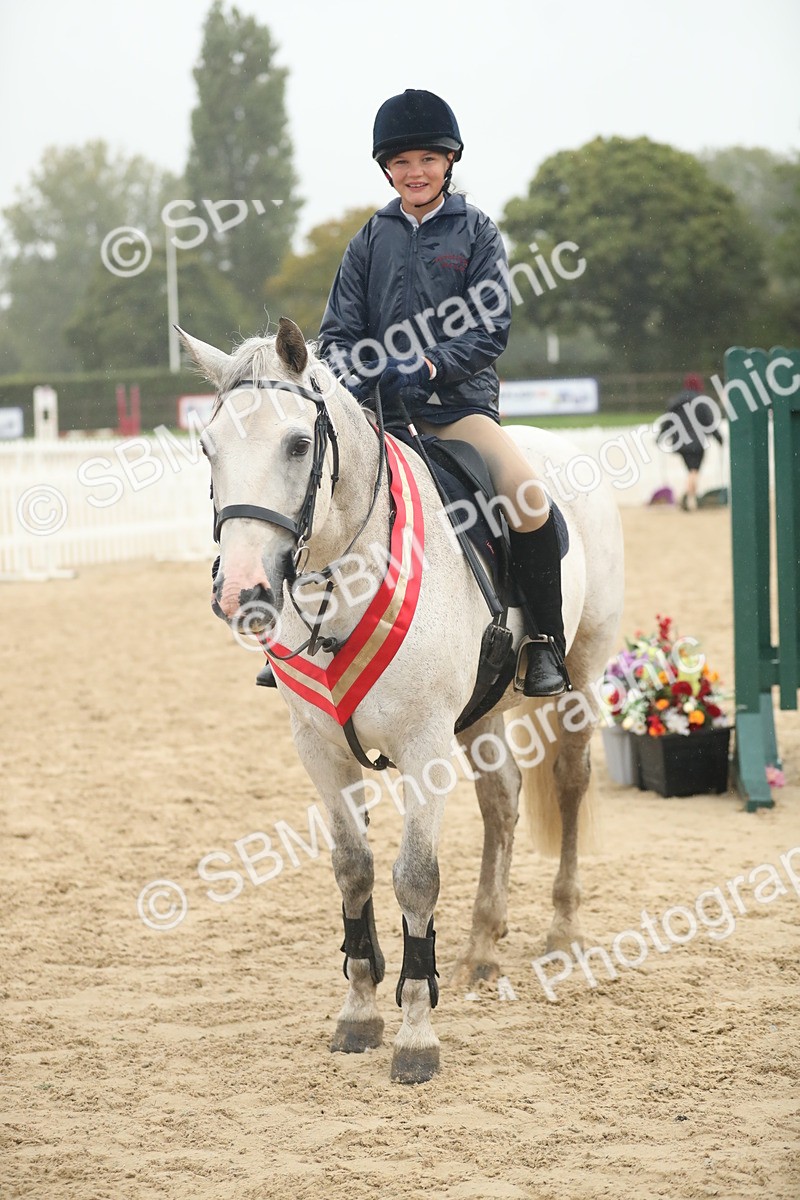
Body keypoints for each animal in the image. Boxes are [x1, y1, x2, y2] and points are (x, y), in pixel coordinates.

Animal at [179, 318, 625, 1084]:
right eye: (209, 448)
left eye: (297, 444)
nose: (241, 592)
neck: (345, 578)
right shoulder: (321, 749)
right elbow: (353, 868)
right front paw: (359, 1010)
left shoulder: (424, 745)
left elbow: (416, 877)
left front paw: (416, 1033)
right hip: (481, 716)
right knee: (501, 804)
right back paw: (481, 948)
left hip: (581, 677)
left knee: (569, 784)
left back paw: (563, 931)